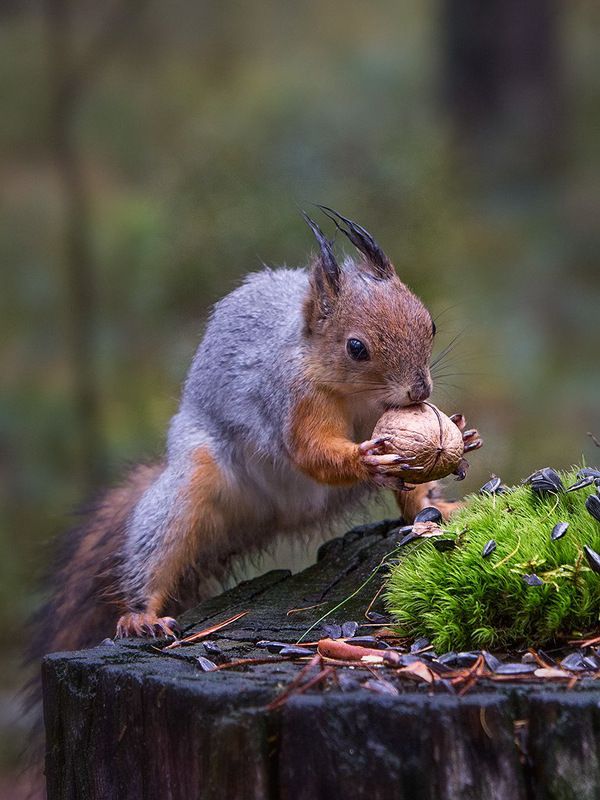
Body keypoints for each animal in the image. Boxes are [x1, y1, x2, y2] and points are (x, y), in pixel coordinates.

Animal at [30, 207, 481, 656]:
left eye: (430, 324)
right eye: (356, 348)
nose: (420, 390)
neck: (354, 393)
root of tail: (275, 515)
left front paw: (460, 435)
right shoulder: (292, 399)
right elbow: (309, 452)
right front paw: (365, 458)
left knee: (411, 502)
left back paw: (440, 510)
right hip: (192, 482)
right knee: (156, 548)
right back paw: (142, 614)